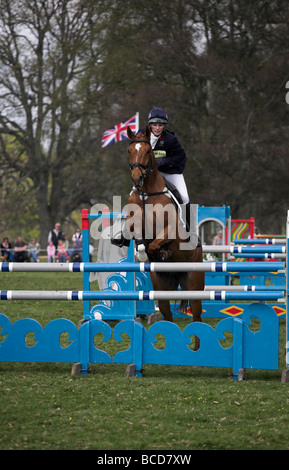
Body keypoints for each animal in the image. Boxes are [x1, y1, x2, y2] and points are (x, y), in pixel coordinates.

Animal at [125, 124, 204, 338]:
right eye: (129, 150)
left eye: (147, 152)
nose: (136, 179)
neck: (147, 192)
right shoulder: (134, 224)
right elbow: (141, 243)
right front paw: (142, 254)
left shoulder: (171, 230)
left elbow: (154, 244)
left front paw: (161, 252)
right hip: (162, 289)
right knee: (167, 314)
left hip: (195, 283)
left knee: (197, 317)